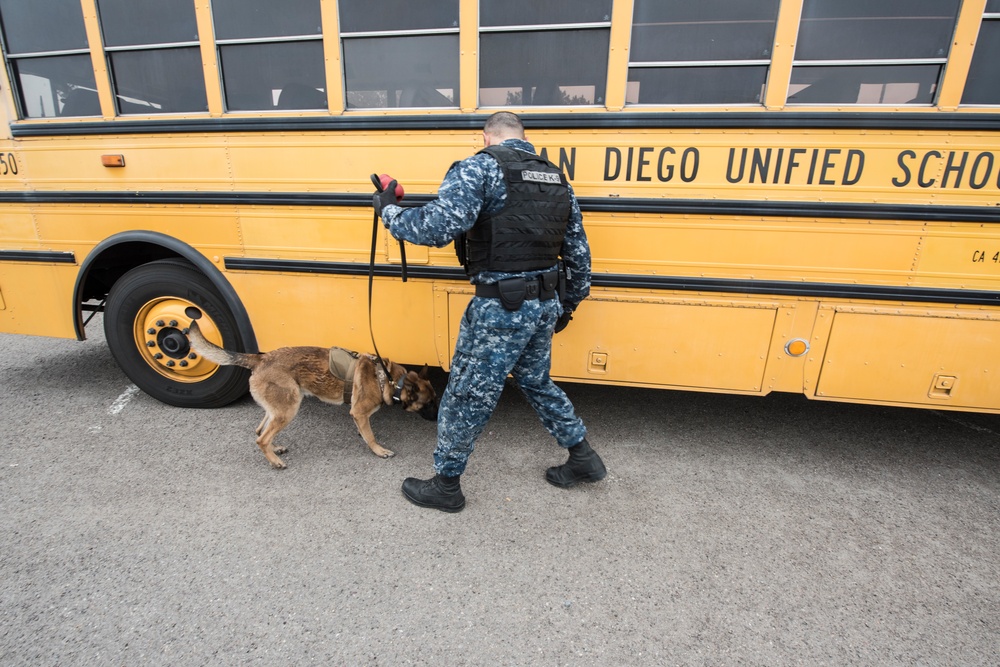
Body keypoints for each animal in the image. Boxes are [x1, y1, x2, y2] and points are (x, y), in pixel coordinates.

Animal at [188, 320, 438, 470]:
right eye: (429, 403)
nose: (439, 418)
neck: (390, 379)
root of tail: (260, 358)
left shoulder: (358, 415)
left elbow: (364, 431)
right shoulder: (359, 412)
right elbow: (371, 436)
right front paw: (379, 450)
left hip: (279, 407)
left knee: (260, 431)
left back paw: (275, 449)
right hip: (289, 408)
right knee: (261, 438)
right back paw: (275, 461)